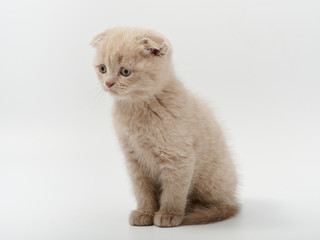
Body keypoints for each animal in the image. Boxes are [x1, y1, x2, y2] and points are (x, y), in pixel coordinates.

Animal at [90, 26, 238, 227]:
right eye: (103, 69)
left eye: (125, 71)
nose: (108, 83)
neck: (136, 108)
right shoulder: (134, 159)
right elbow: (142, 190)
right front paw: (145, 212)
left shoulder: (177, 156)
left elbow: (174, 191)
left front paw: (169, 214)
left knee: (222, 207)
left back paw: (195, 211)